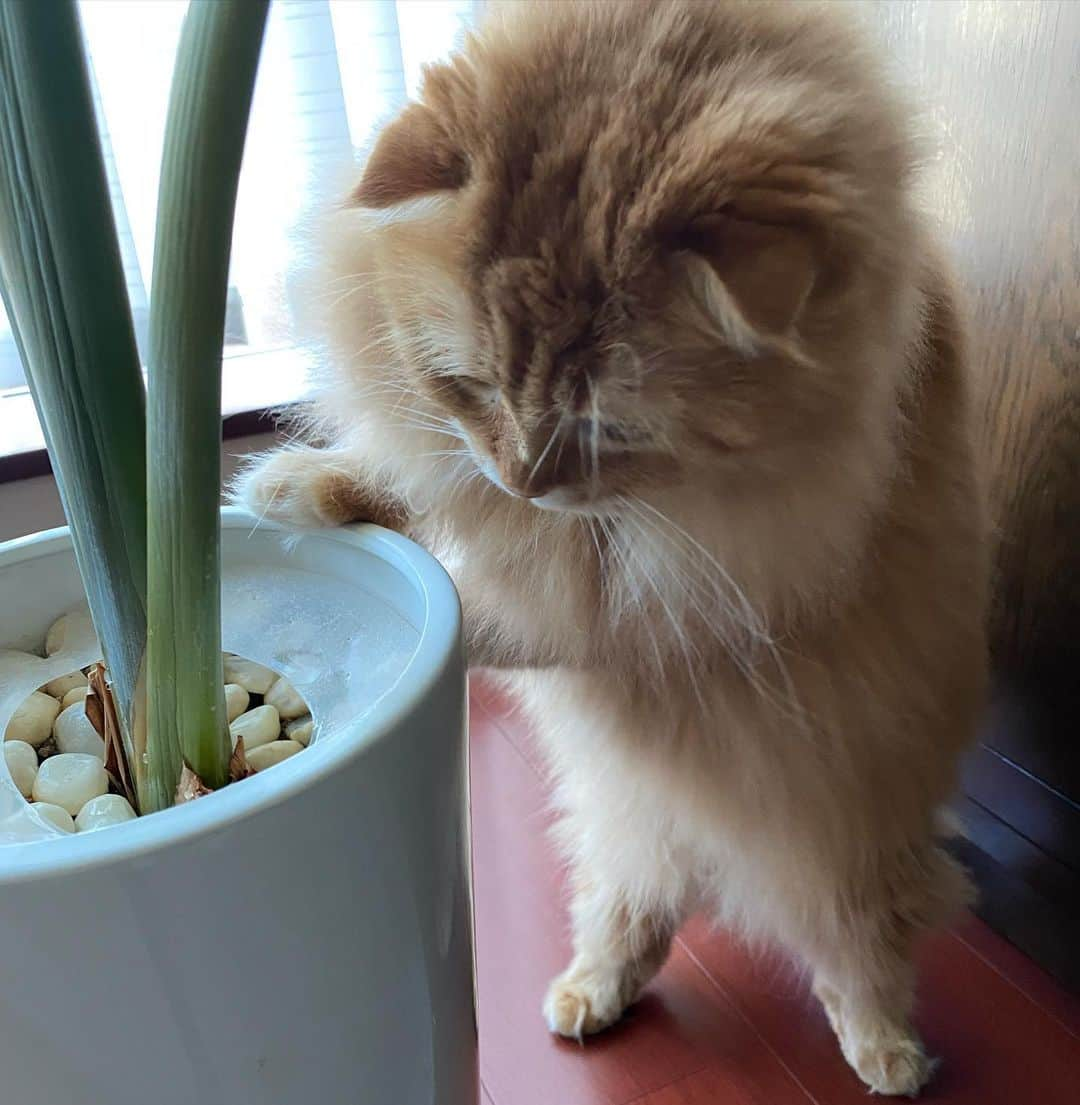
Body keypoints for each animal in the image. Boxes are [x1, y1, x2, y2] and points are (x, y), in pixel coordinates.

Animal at [234, 2, 986, 1096]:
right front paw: (298, 485)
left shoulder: (653, 605)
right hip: (628, 841)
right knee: (633, 913)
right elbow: (420, 498)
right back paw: (591, 995)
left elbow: (477, 606)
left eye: (609, 429)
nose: (523, 476)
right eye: (470, 385)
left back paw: (886, 1052)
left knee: (856, 956)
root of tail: (702, 846)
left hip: (835, 867)